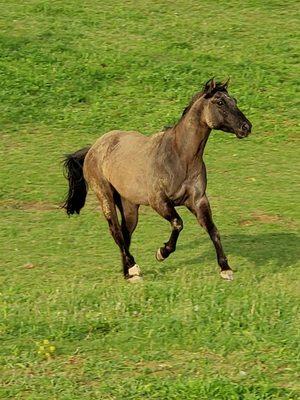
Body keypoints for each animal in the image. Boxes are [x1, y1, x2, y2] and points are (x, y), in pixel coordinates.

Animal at [62, 78, 252, 282]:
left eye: (234, 100)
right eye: (220, 102)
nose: (246, 127)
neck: (180, 157)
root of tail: (93, 148)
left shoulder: (198, 200)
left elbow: (213, 230)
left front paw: (225, 269)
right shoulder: (158, 201)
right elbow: (178, 223)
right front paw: (162, 252)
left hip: (129, 206)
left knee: (125, 233)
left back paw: (128, 274)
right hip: (105, 196)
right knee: (116, 232)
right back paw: (133, 268)